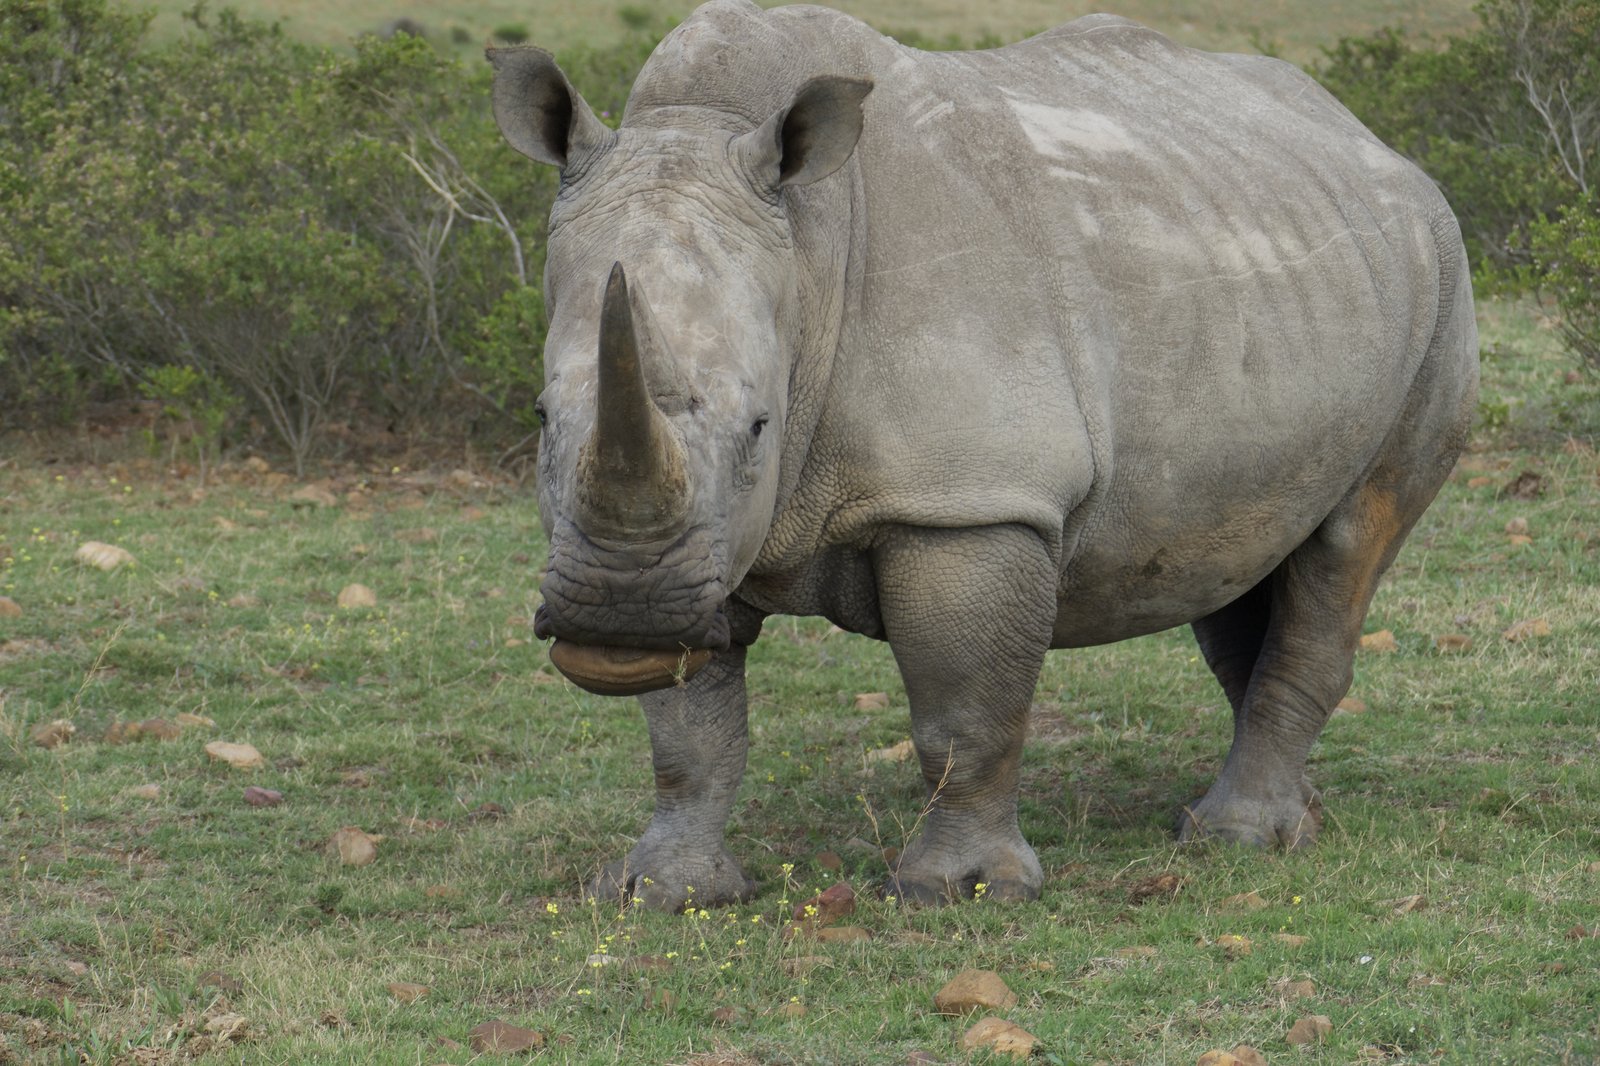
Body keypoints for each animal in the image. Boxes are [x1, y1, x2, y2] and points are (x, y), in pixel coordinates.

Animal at [488, 0, 1478, 908]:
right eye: (540, 416)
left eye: (760, 428)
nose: (619, 621)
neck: (807, 249)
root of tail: (1375, 141)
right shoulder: (704, 547)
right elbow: (690, 732)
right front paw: (664, 893)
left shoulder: (971, 499)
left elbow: (962, 712)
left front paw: (963, 891)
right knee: (1239, 553)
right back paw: (1289, 818)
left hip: (1443, 278)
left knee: (1351, 538)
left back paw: (1236, 838)